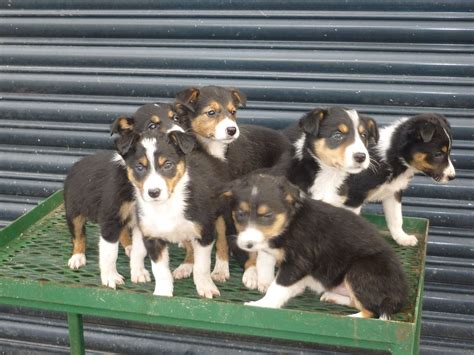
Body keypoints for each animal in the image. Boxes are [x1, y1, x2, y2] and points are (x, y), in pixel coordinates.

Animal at [65, 103, 184, 290]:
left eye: (176, 118)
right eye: (152, 126)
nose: (182, 133)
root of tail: (78, 163)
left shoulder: (143, 223)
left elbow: (139, 251)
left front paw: (138, 272)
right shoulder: (110, 219)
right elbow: (109, 253)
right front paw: (111, 278)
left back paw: (128, 246)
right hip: (73, 210)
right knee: (78, 234)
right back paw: (77, 257)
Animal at [117, 130, 231, 298]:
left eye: (167, 165)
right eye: (139, 167)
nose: (154, 192)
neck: (166, 206)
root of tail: (212, 156)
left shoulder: (205, 233)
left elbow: (202, 266)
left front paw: (206, 288)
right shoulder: (152, 238)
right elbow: (160, 270)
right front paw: (163, 293)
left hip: (220, 216)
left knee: (222, 241)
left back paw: (220, 270)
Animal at [174, 86, 292, 290]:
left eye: (233, 112)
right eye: (211, 112)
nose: (232, 130)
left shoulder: (227, 206)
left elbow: (223, 239)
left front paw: (223, 270)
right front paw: (187, 264)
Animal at [225, 173, 408, 320]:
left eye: (267, 215)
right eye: (240, 214)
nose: (247, 244)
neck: (289, 223)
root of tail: (399, 297)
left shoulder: (298, 263)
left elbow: (278, 287)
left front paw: (262, 304)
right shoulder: (270, 248)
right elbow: (264, 262)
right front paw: (264, 282)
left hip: (359, 270)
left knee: (372, 311)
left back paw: (350, 318)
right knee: (356, 302)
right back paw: (331, 296)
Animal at [340, 112, 456, 246]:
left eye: (448, 152)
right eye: (438, 154)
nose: (452, 177)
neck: (392, 157)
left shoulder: (393, 192)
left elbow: (396, 218)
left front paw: (402, 238)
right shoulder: (353, 198)